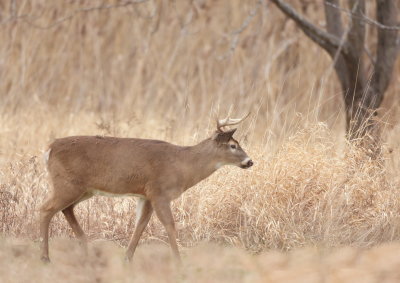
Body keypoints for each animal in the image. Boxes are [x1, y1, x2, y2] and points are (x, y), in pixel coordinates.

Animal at [39, 114, 253, 262]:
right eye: (233, 145)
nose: (250, 161)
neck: (182, 166)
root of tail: (49, 149)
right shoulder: (159, 192)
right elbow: (169, 225)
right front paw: (178, 261)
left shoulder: (146, 195)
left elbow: (140, 225)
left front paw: (127, 258)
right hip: (67, 184)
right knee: (46, 209)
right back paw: (46, 257)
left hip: (84, 189)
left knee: (66, 209)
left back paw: (86, 249)